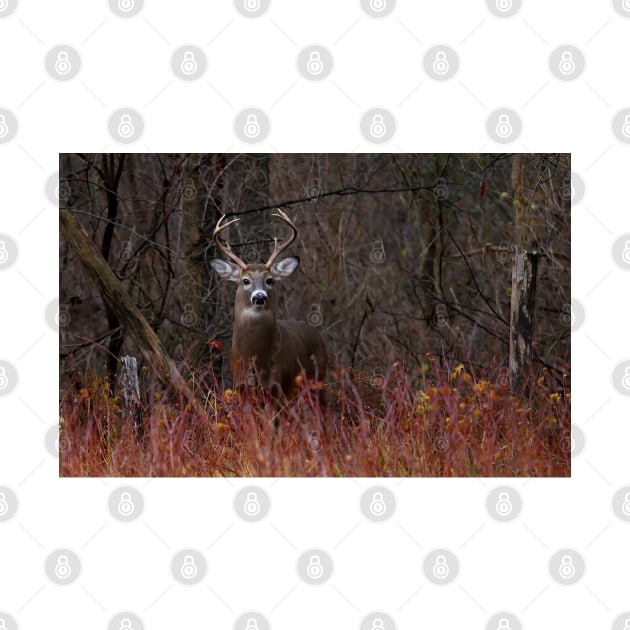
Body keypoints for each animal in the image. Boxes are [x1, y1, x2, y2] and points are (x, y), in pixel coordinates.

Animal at [212, 211, 330, 400]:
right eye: (245, 281)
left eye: (269, 280)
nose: (260, 297)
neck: (255, 358)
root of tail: (318, 335)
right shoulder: (240, 385)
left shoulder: (277, 384)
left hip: (317, 380)